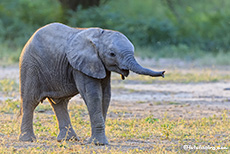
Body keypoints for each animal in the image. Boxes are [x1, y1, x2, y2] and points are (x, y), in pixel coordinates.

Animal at [18, 22, 164, 145]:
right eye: (112, 54)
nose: (163, 72)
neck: (99, 37)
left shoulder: (100, 65)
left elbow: (105, 95)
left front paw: (96, 141)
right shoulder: (81, 65)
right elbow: (93, 95)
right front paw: (98, 143)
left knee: (59, 103)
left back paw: (68, 140)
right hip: (30, 65)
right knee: (30, 101)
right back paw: (28, 140)